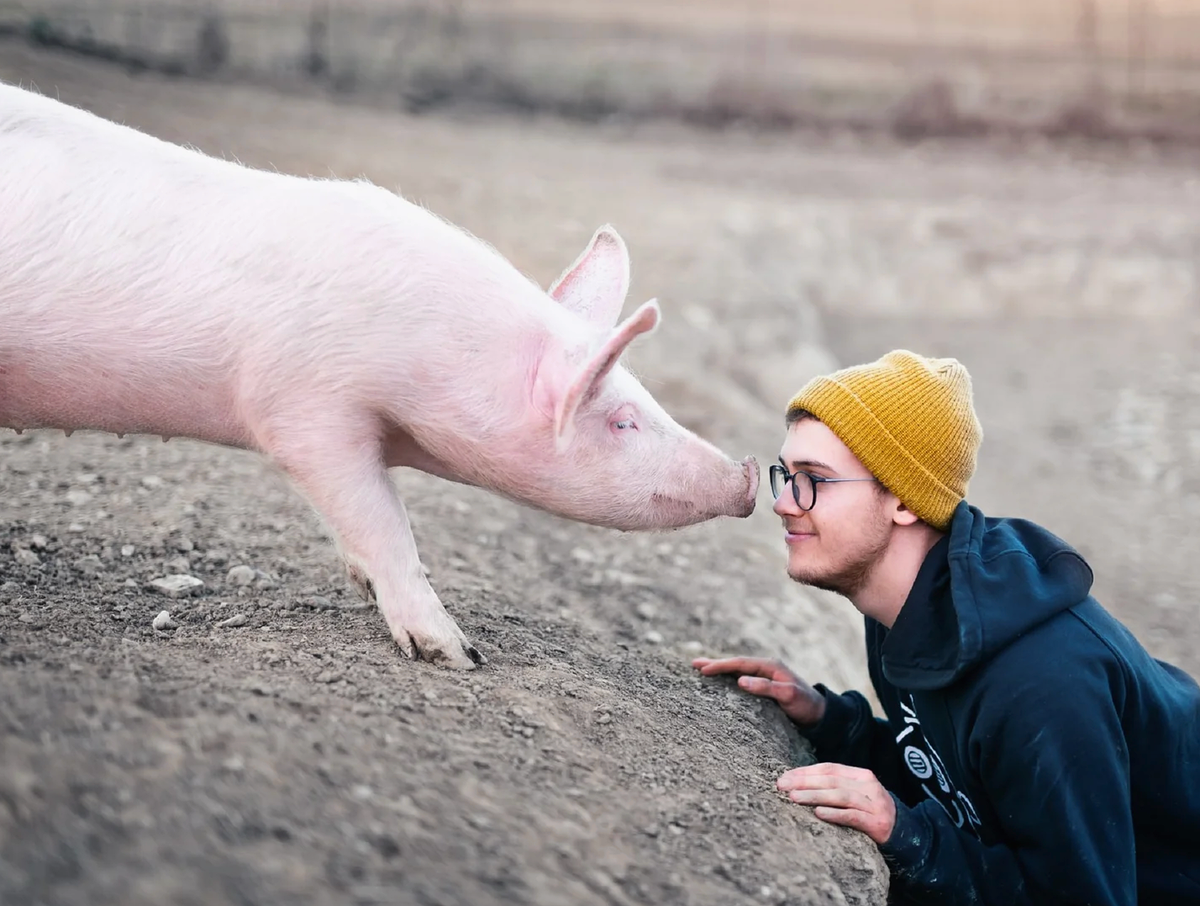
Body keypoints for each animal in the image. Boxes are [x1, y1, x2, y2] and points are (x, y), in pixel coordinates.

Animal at [0, 83, 758, 667]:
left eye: (645, 397)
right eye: (622, 420)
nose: (748, 475)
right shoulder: (303, 407)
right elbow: (383, 520)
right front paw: (457, 655)